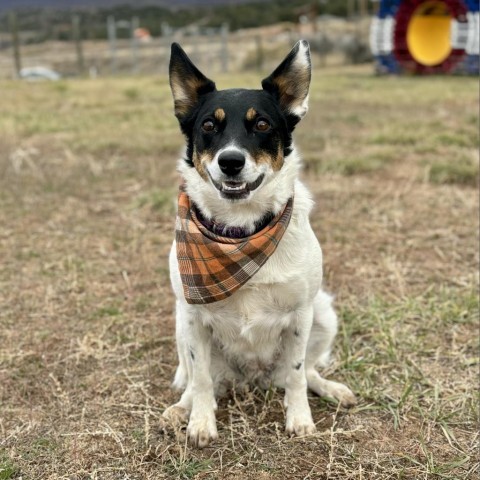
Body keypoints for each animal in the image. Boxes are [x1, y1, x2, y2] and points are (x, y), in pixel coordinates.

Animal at [163, 42, 354, 450]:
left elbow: (296, 374)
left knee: (301, 372)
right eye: (208, 126)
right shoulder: (193, 316)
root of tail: (254, 377)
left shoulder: (300, 314)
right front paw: (200, 423)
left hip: (324, 313)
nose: (231, 161)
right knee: (201, 378)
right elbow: (201, 378)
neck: (239, 233)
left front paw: (300, 419)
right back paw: (181, 408)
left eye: (262, 124)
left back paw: (329, 388)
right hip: (180, 323)